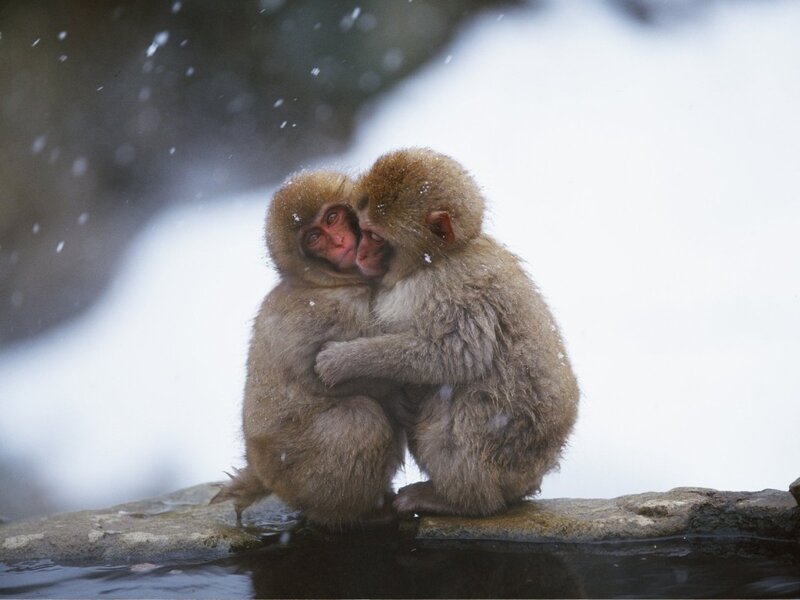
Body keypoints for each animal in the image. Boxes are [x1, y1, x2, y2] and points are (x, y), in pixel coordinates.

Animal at [211, 170, 405, 529]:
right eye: (314, 237)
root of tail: (261, 471)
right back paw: (360, 514)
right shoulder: (335, 311)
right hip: (299, 472)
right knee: (361, 421)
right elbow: (335, 374)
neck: (326, 282)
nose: (340, 242)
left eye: (332, 218)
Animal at [315, 148, 579, 517]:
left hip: (503, 450)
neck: (436, 260)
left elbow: (455, 354)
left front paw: (344, 360)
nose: (361, 253)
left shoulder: (454, 290)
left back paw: (460, 500)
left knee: (460, 407)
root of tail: (533, 473)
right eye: (360, 229)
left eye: (375, 236)